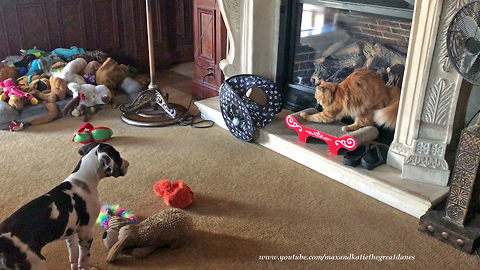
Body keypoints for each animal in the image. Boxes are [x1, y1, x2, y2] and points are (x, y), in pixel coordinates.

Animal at [0, 142, 129, 268]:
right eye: (118, 156)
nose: (128, 163)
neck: (83, 179)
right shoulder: (86, 232)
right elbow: (83, 260)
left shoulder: (70, 234)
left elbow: (74, 257)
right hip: (37, 262)